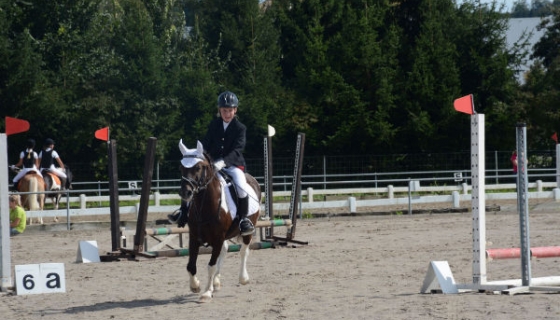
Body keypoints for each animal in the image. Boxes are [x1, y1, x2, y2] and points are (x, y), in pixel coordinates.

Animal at [178, 140, 262, 302]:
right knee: (224, 251)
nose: (186, 192)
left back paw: (243, 278)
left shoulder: (218, 237)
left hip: (247, 230)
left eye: (198, 167)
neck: (204, 205)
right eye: (182, 167)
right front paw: (195, 286)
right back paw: (216, 283)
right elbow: (191, 265)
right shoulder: (194, 237)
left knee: (243, 251)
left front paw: (206, 292)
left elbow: (211, 265)